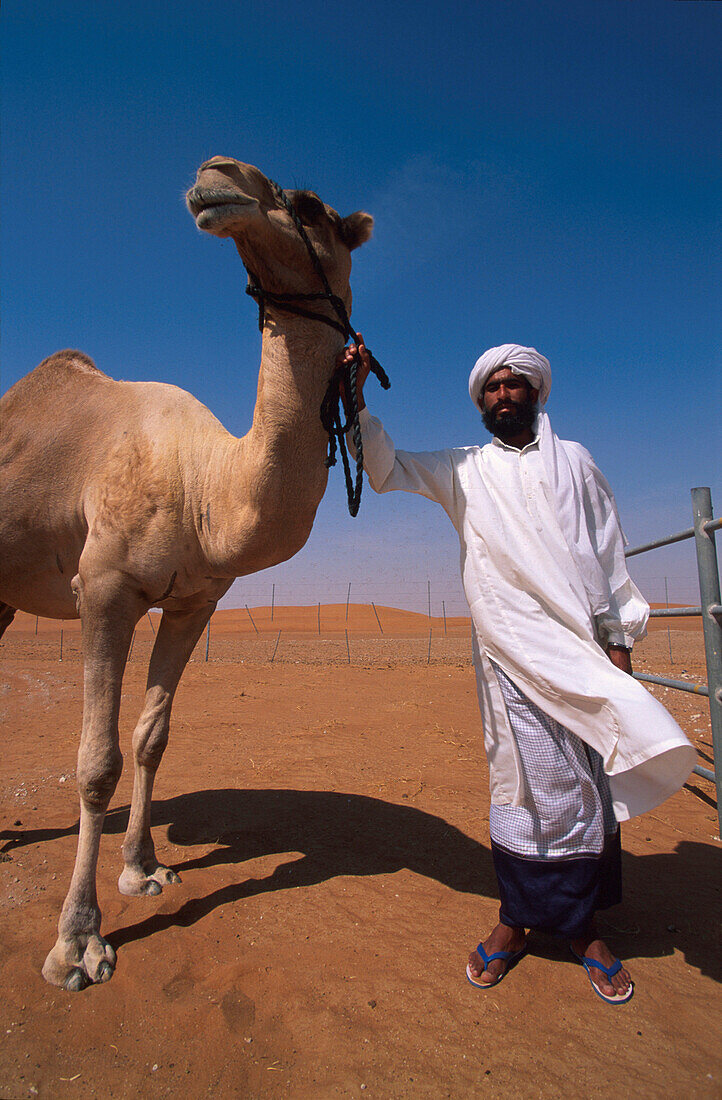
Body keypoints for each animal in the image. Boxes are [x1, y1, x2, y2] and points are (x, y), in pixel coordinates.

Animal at [0, 155, 372, 990]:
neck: (205, 483)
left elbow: (151, 738)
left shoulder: (192, 602)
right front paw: (78, 942)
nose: (216, 174)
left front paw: (143, 871)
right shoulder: (105, 591)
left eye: (310, 205)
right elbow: (97, 762)